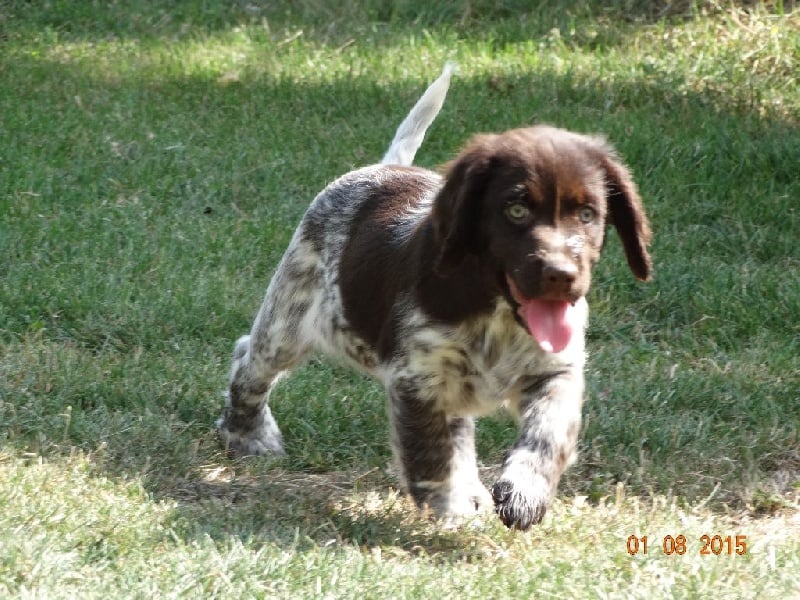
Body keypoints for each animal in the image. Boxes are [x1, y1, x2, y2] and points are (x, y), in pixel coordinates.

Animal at [217, 65, 652, 530]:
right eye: (516, 210)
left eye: (587, 215)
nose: (561, 276)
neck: (495, 310)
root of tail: (384, 168)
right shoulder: (417, 380)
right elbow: (430, 454)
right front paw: (449, 507)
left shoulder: (554, 371)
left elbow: (547, 432)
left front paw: (525, 491)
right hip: (290, 321)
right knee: (249, 361)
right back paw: (248, 434)